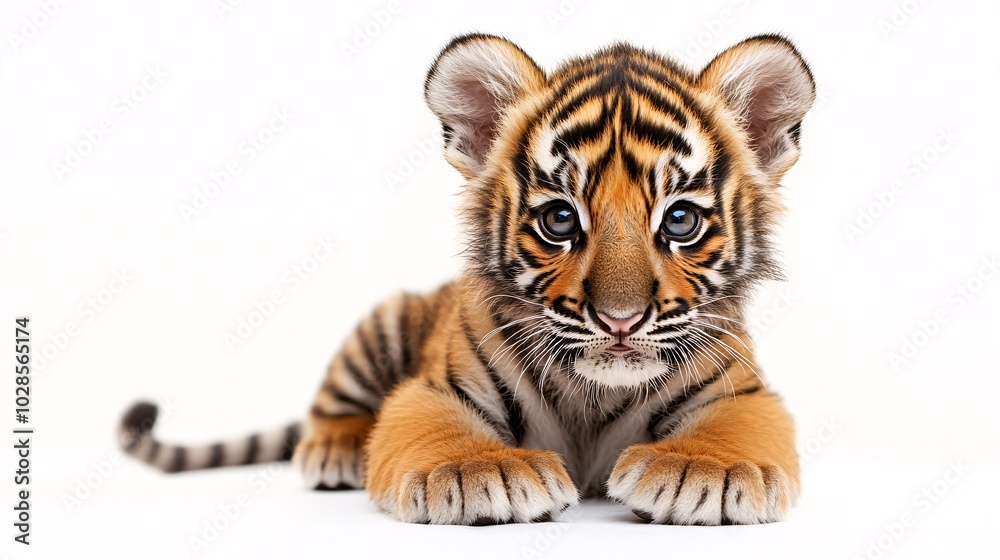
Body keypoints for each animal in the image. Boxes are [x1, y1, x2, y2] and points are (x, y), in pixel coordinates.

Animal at [119, 32, 816, 526]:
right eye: (560, 218)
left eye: (680, 220)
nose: (619, 321)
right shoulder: (429, 391)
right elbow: (442, 432)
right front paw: (481, 474)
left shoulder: (744, 394)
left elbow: (731, 430)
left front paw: (703, 470)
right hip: (380, 326)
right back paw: (337, 449)